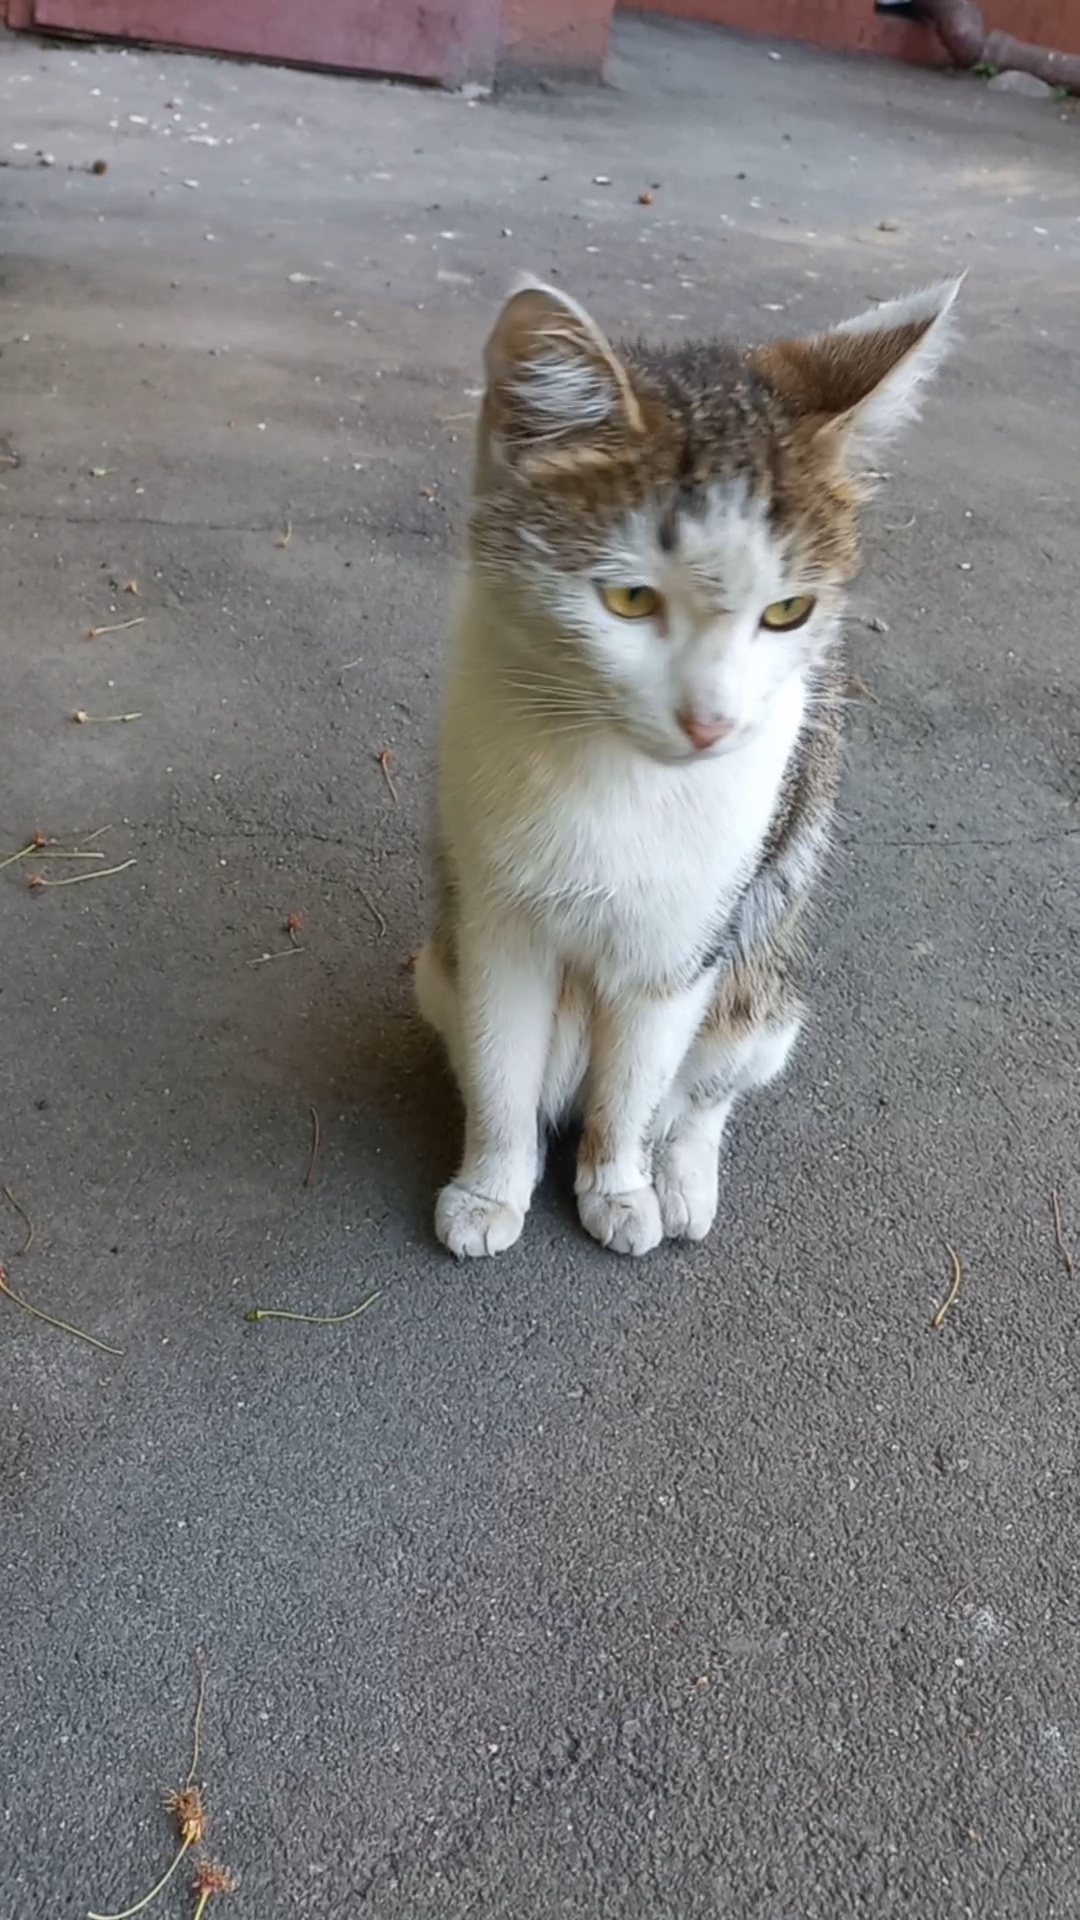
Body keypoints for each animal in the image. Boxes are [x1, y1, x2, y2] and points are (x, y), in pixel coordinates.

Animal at [415, 273, 959, 1258]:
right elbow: (502, 1064)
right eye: (630, 599)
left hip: (763, 988)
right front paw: (489, 1187)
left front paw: (619, 1185)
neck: (613, 769)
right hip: (434, 966)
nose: (712, 724)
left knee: (704, 1090)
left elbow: (635, 1087)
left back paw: (681, 1174)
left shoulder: (684, 940)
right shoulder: (492, 921)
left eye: (787, 611)